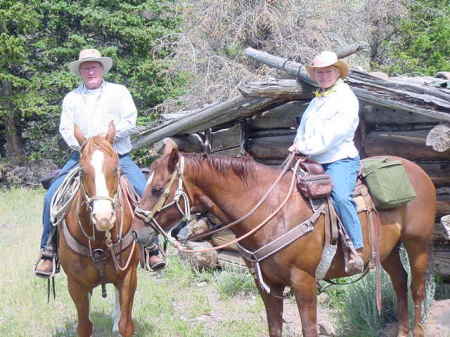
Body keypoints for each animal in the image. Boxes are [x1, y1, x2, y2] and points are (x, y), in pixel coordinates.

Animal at [59, 123, 139, 336]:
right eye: (81, 171)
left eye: (116, 168)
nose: (104, 218)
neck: (100, 241)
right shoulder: (75, 284)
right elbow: (84, 326)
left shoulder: (128, 276)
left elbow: (126, 324)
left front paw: (119, 323)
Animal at [138, 141, 436, 336]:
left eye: (156, 188)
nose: (139, 231)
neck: (272, 211)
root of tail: (419, 171)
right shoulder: (267, 285)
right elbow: (274, 327)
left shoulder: (303, 283)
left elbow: (309, 329)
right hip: (389, 250)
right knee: (399, 282)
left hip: (417, 244)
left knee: (417, 289)